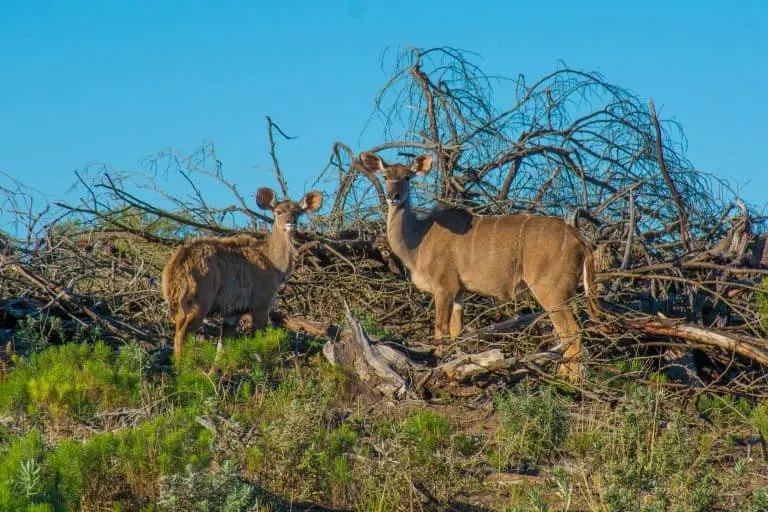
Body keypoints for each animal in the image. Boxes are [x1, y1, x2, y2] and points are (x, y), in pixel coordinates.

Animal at [160, 188, 322, 364]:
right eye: (278, 212)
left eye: (298, 212)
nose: (290, 223)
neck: (270, 258)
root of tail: (178, 265)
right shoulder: (260, 306)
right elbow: (260, 346)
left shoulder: (233, 313)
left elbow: (221, 349)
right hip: (199, 306)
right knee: (181, 336)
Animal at [360, 151, 600, 376]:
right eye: (385, 176)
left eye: (408, 177)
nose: (393, 196)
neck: (418, 240)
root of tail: (580, 239)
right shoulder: (459, 292)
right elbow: (456, 331)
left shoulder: (444, 288)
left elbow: (440, 329)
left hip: (551, 291)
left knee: (571, 332)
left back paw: (567, 381)